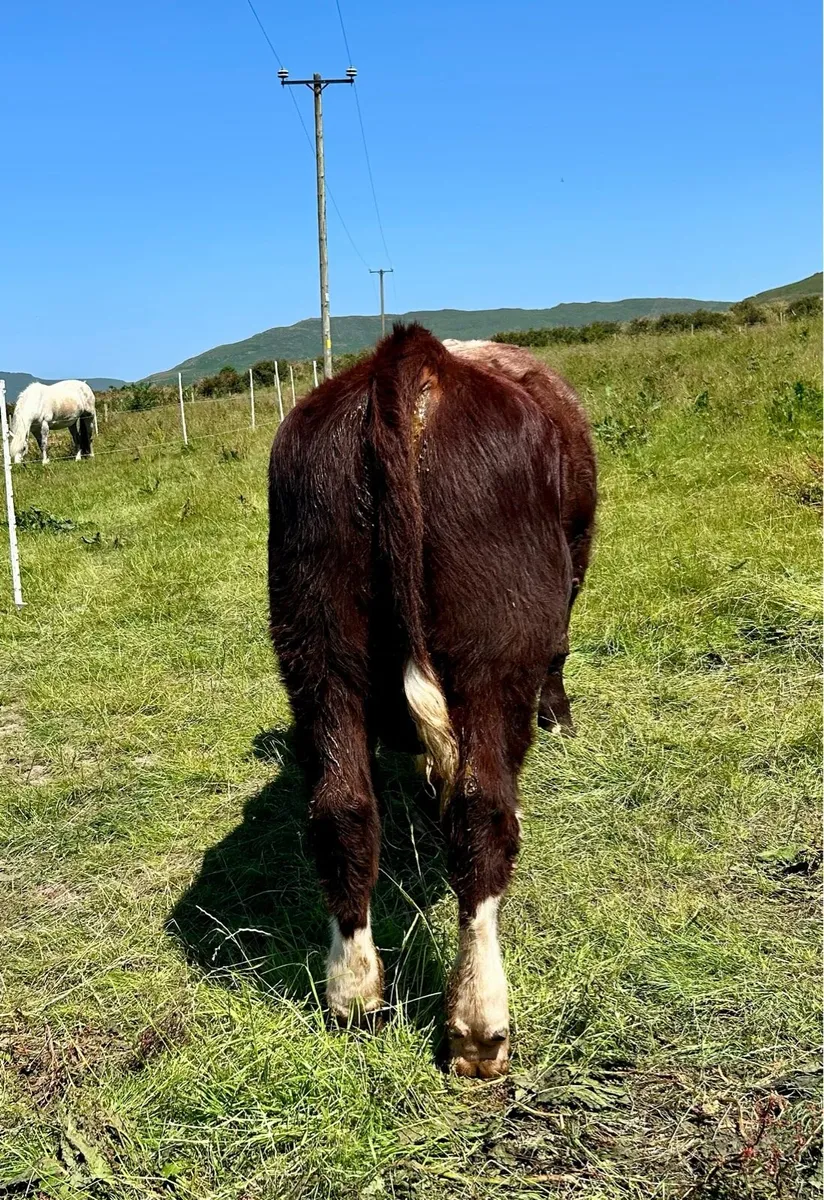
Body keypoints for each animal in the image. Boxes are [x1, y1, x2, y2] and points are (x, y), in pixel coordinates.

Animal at [267, 324, 596, 1077]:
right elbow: (560, 654)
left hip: (317, 645)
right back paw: (478, 1025)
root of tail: (411, 361)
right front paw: (560, 719)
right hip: (491, 652)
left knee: (343, 810)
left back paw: (354, 996)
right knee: (482, 817)